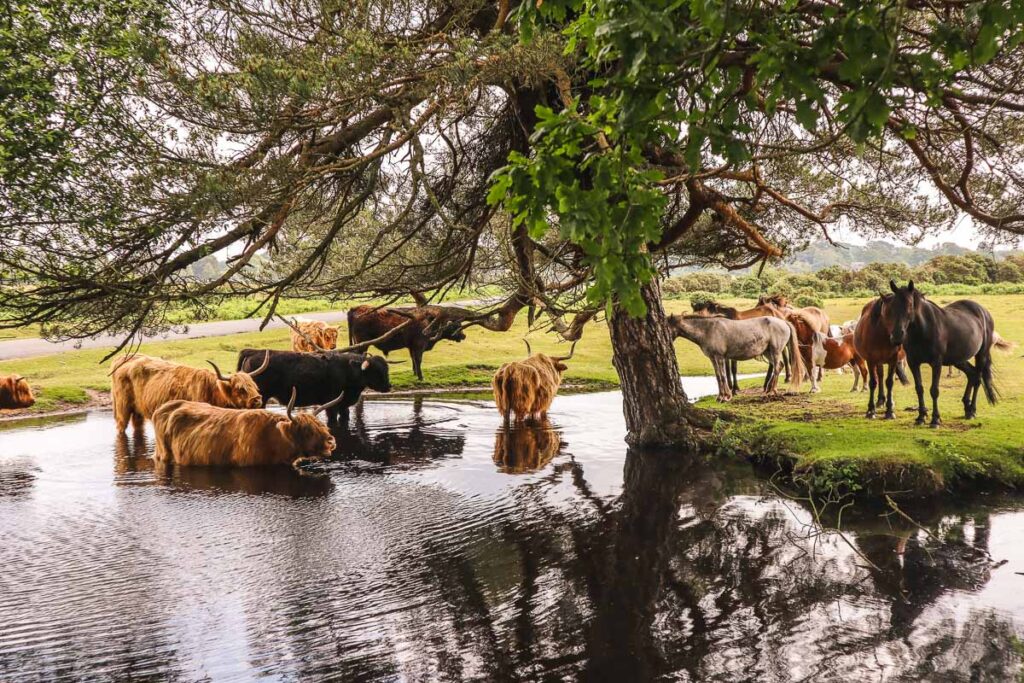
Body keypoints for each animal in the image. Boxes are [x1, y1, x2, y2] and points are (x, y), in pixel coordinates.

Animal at [880, 278, 1007, 428]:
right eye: (892, 306)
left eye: (910, 304)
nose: (896, 336)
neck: (923, 330)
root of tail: (983, 311)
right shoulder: (913, 363)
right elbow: (919, 388)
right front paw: (921, 417)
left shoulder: (936, 363)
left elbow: (934, 390)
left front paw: (935, 419)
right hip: (958, 359)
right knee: (972, 374)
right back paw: (967, 408)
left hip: (981, 355)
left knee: (977, 378)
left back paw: (972, 410)